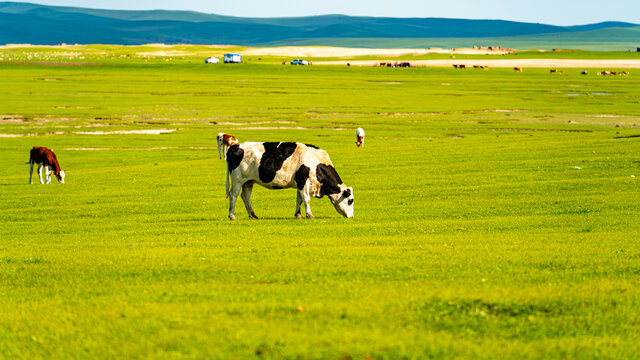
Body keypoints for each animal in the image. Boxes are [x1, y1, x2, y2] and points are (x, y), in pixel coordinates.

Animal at [225, 142, 356, 221]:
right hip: (237, 180)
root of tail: (235, 146)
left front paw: (298, 215)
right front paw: (310, 215)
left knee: (246, 197)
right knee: (233, 196)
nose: (351, 216)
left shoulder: (301, 183)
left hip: (248, 181)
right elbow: (306, 199)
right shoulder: (303, 180)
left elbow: (299, 199)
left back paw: (253, 215)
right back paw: (232, 216)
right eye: (350, 200)